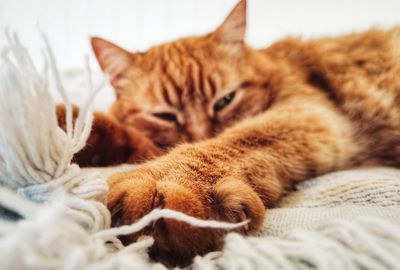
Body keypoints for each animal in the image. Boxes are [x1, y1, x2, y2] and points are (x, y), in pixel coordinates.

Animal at [76, 0, 400, 266]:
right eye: (165, 116)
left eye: (225, 101)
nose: (200, 134)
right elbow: (116, 132)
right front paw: (70, 125)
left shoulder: (310, 112)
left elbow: (238, 139)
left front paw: (173, 182)